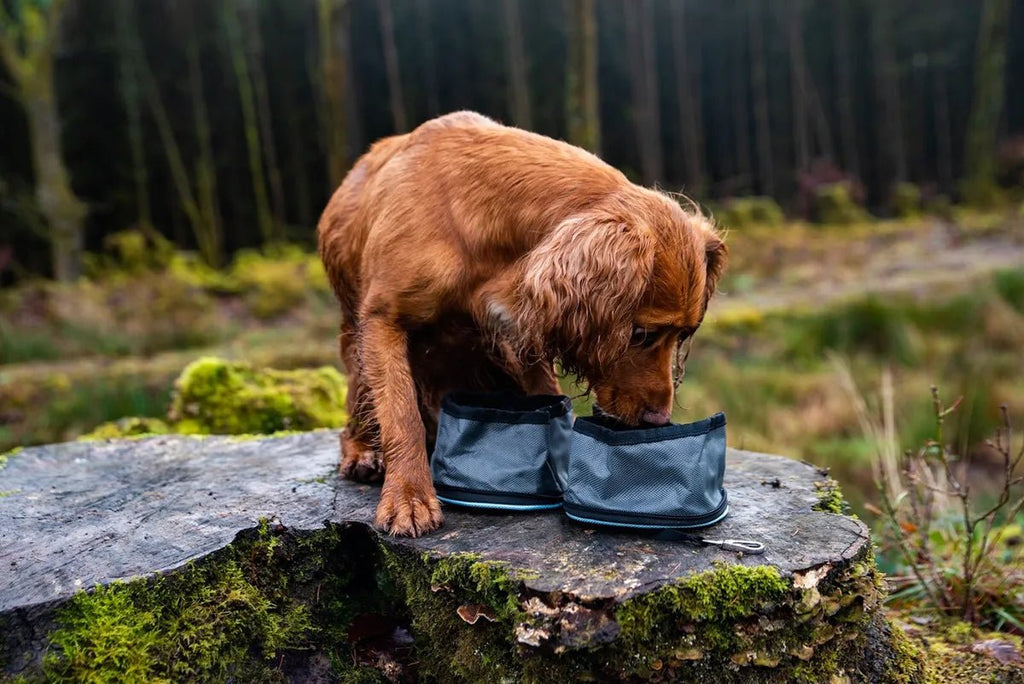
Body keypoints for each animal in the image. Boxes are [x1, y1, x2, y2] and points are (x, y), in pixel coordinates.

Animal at [315, 112, 724, 536]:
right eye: (641, 334)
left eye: (683, 334)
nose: (659, 420)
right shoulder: (383, 319)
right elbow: (401, 413)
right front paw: (409, 496)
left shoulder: (516, 325)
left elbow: (544, 389)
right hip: (356, 341)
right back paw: (363, 450)